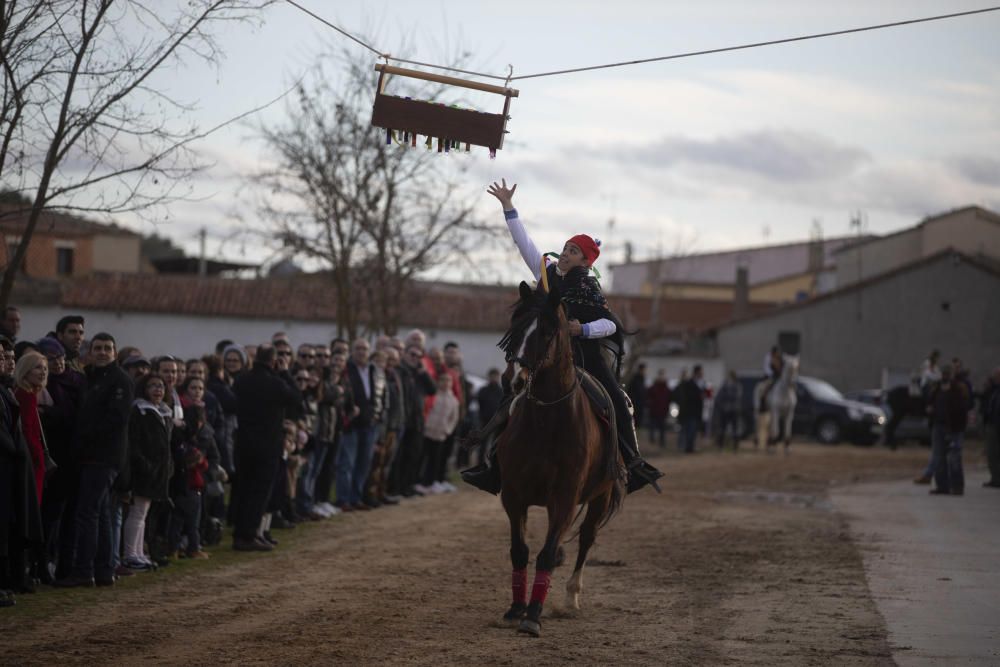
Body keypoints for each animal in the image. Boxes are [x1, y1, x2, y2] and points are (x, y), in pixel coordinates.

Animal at [494, 280, 624, 636]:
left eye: (548, 331)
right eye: (515, 327)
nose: (513, 380)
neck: (546, 421)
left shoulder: (564, 498)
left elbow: (548, 553)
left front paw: (533, 615)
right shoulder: (514, 496)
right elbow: (520, 551)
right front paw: (516, 608)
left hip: (599, 497)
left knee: (586, 539)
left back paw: (571, 597)